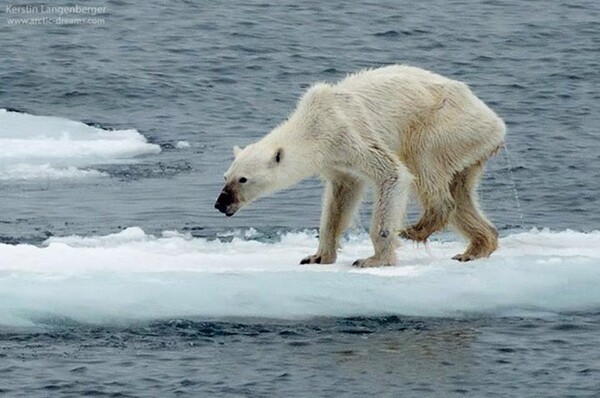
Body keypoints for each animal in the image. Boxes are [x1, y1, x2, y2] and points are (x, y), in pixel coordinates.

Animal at [216, 64, 506, 268]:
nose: (221, 203)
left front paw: (373, 259)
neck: (314, 124)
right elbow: (340, 199)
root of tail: (496, 122)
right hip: (468, 147)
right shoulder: (336, 161)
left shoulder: (348, 134)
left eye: (243, 179)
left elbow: (392, 174)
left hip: (446, 125)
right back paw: (475, 248)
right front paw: (317, 256)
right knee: (461, 193)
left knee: (424, 161)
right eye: (226, 176)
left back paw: (416, 229)